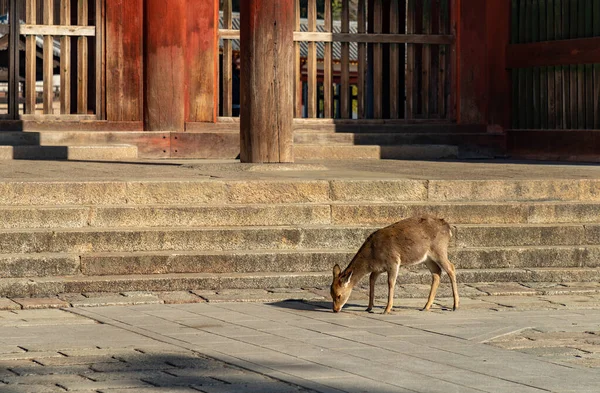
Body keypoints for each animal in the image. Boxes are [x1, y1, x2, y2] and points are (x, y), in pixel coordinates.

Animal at [330, 214, 458, 312]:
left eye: (339, 295)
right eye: (331, 294)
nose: (335, 310)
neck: (372, 257)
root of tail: (448, 228)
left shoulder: (393, 262)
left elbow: (391, 283)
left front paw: (387, 309)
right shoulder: (377, 269)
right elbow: (371, 281)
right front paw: (369, 308)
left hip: (439, 250)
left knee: (451, 267)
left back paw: (455, 306)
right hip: (427, 258)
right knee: (437, 272)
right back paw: (426, 306)